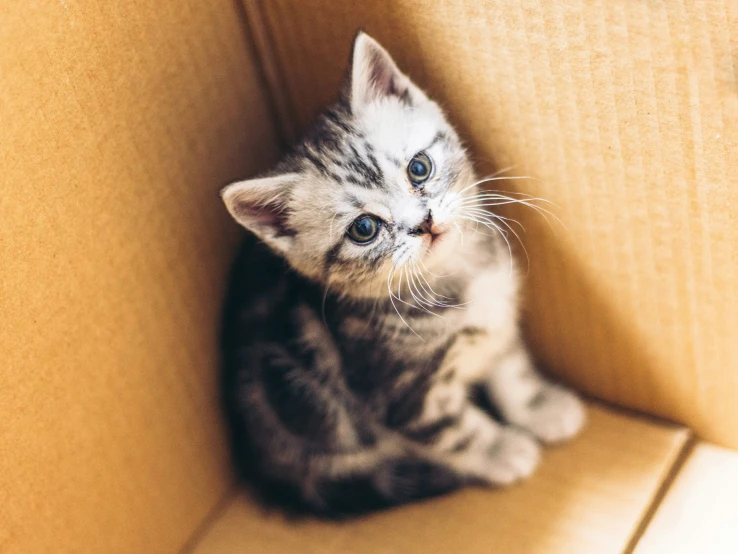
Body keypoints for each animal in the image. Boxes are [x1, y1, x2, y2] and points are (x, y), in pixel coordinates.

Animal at [218, 31, 580, 512]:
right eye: (364, 229)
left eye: (419, 168)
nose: (423, 223)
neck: (459, 279)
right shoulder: (400, 396)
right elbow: (453, 431)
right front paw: (501, 448)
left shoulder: (498, 321)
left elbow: (510, 367)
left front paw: (539, 407)